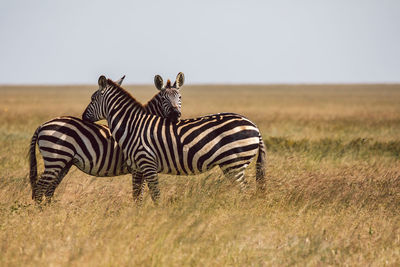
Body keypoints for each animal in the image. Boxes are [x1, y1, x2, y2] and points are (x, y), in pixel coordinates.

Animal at [28, 73, 185, 203]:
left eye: (180, 97)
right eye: (164, 99)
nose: (176, 115)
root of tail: (42, 125)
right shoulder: (140, 166)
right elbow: (138, 194)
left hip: (63, 162)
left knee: (49, 190)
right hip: (55, 159)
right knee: (40, 188)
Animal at [82, 75, 266, 203]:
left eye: (92, 99)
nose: (83, 117)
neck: (132, 125)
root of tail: (254, 126)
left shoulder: (148, 164)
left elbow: (155, 195)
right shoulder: (138, 167)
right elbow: (137, 196)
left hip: (234, 163)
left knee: (245, 191)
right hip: (233, 165)